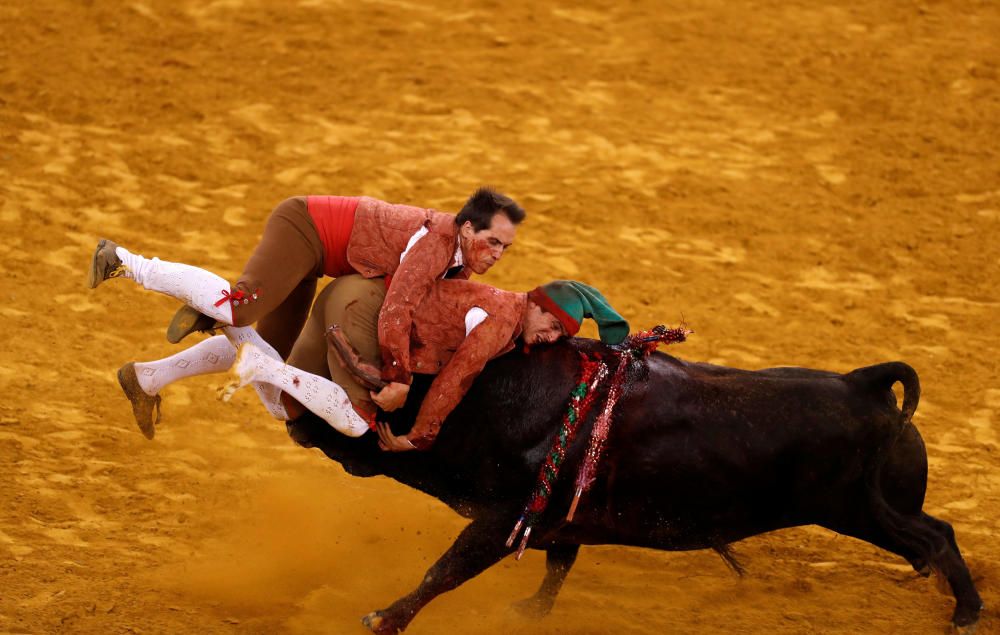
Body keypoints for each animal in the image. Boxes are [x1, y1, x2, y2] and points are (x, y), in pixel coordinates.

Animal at [284, 336, 984, 632]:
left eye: (369, 390)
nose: (294, 413)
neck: (492, 397)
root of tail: (864, 384)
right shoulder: (560, 520)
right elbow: (559, 566)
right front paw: (530, 612)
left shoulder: (501, 517)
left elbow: (444, 572)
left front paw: (383, 617)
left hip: (866, 510)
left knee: (936, 537)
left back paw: (966, 613)